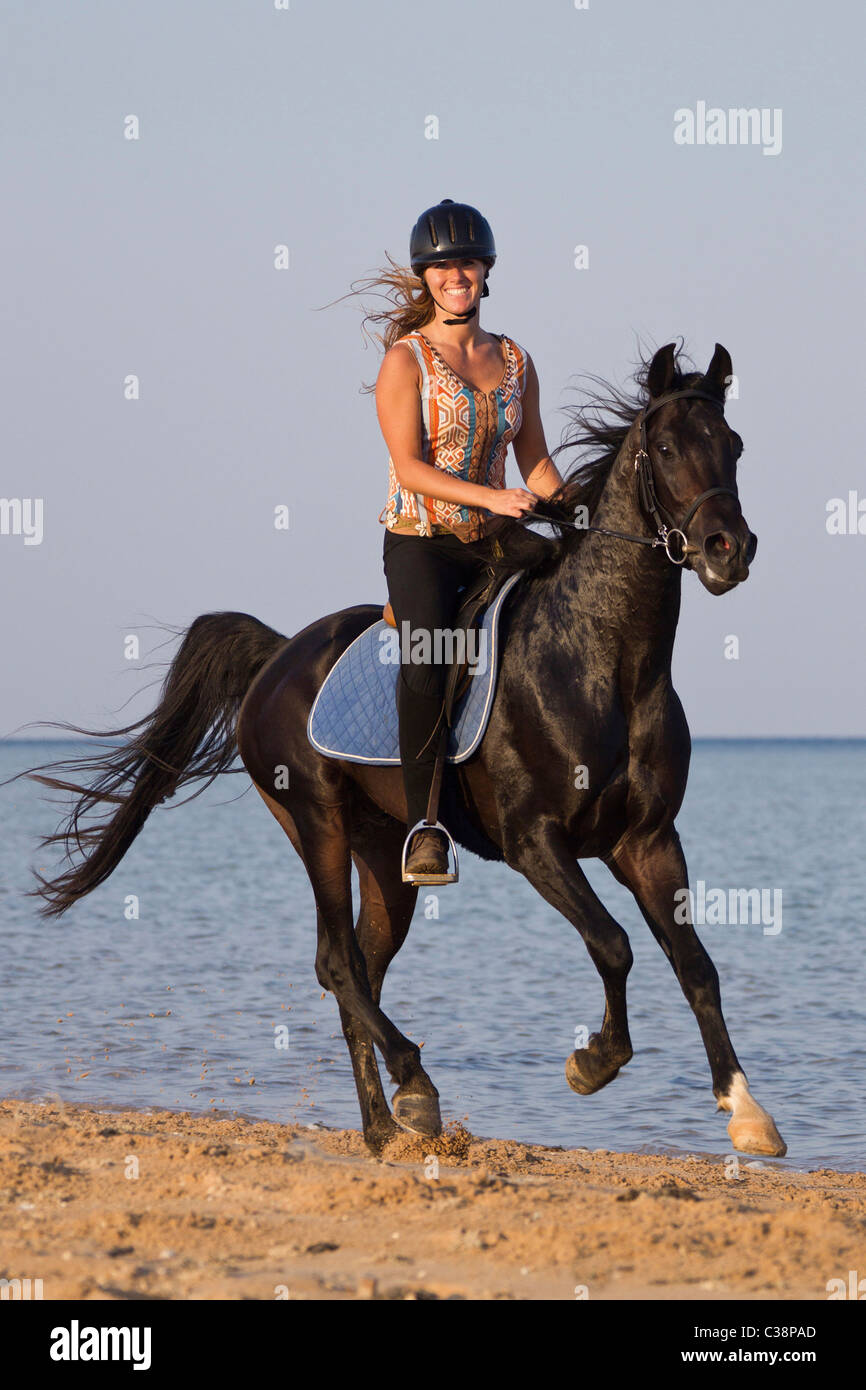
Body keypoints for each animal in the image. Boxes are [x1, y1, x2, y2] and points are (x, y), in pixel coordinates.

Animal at [20, 340, 786, 1159]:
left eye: (735, 446)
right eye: (667, 448)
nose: (729, 550)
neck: (605, 664)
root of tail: (277, 656)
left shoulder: (647, 841)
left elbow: (696, 966)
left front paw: (747, 1110)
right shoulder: (536, 843)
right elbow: (613, 944)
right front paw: (593, 1063)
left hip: (384, 851)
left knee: (360, 965)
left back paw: (386, 1125)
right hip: (315, 820)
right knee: (338, 962)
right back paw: (414, 1083)